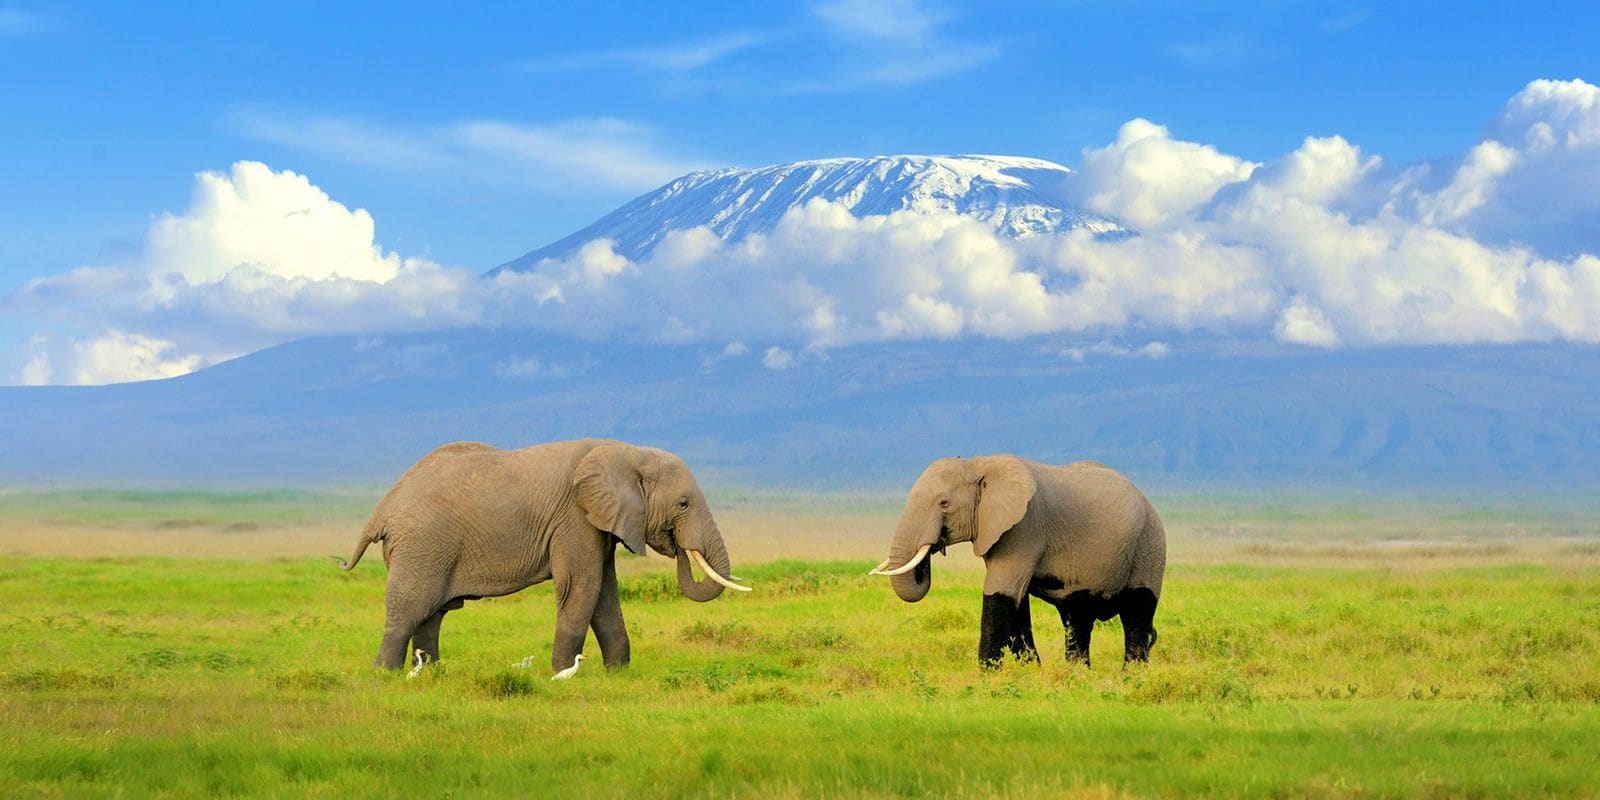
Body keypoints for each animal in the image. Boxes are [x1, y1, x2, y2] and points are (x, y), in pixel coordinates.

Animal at [337, 438, 750, 672]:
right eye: (683, 504)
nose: (676, 544)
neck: (628, 451)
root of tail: (383, 507)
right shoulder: (574, 517)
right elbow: (582, 587)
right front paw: (563, 674)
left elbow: (604, 592)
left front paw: (618, 673)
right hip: (422, 545)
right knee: (410, 609)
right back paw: (385, 675)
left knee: (432, 614)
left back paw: (434, 673)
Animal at [871, 456, 1165, 668]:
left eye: (943, 503)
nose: (933, 548)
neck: (979, 464)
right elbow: (1016, 602)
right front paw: (1031, 671)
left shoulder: (1024, 528)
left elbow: (1000, 593)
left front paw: (988, 676)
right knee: (1078, 618)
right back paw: (1077, 674)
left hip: (1149, 544)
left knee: (1137, 611)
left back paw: (1132, 676)